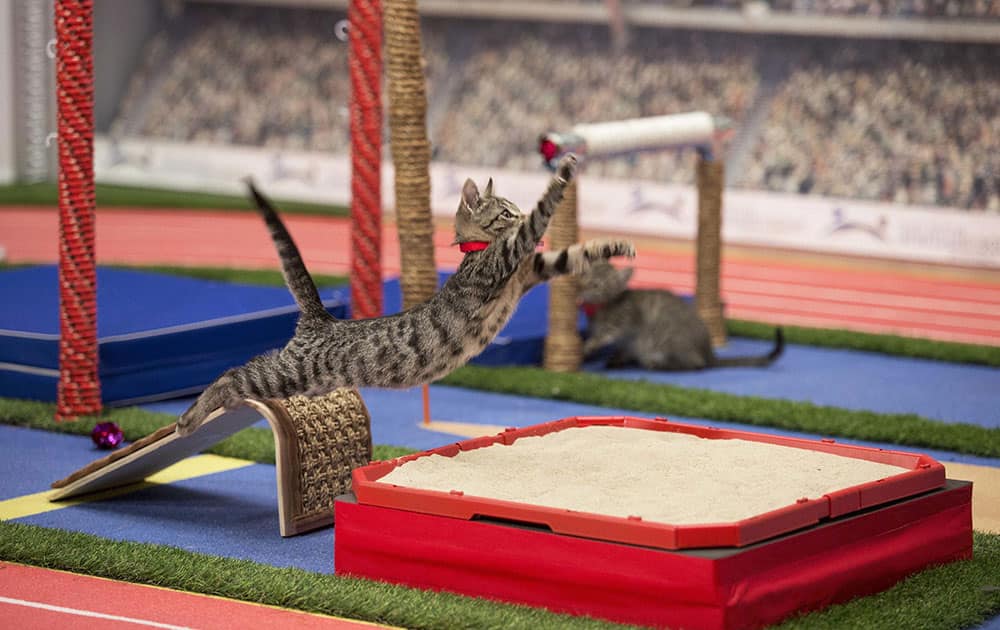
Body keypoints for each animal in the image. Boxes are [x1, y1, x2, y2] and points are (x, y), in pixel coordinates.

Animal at [176, 156, 636, 436]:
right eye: (506, 212)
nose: (517, 214)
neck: (479, 250)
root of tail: (321, 319)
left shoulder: (532, 268)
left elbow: (573, 254)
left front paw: (614, 245)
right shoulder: (509, 258)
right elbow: (542, 216)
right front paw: (561, 175)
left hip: (304, 383)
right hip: (287, 374)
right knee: (233, 374)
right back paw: (189, 417)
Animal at [580, 260, 780, 372]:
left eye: (600, 284)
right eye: (585, 275)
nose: (587, 285)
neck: (600, 309)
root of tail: (709, 352)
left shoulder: (626, 321)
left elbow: (606, 335)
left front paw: (589, 346)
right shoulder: (627, 340)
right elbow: (622, 348)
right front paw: (614, 358)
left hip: (668, 340)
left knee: (696, 364)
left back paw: (658, 364)